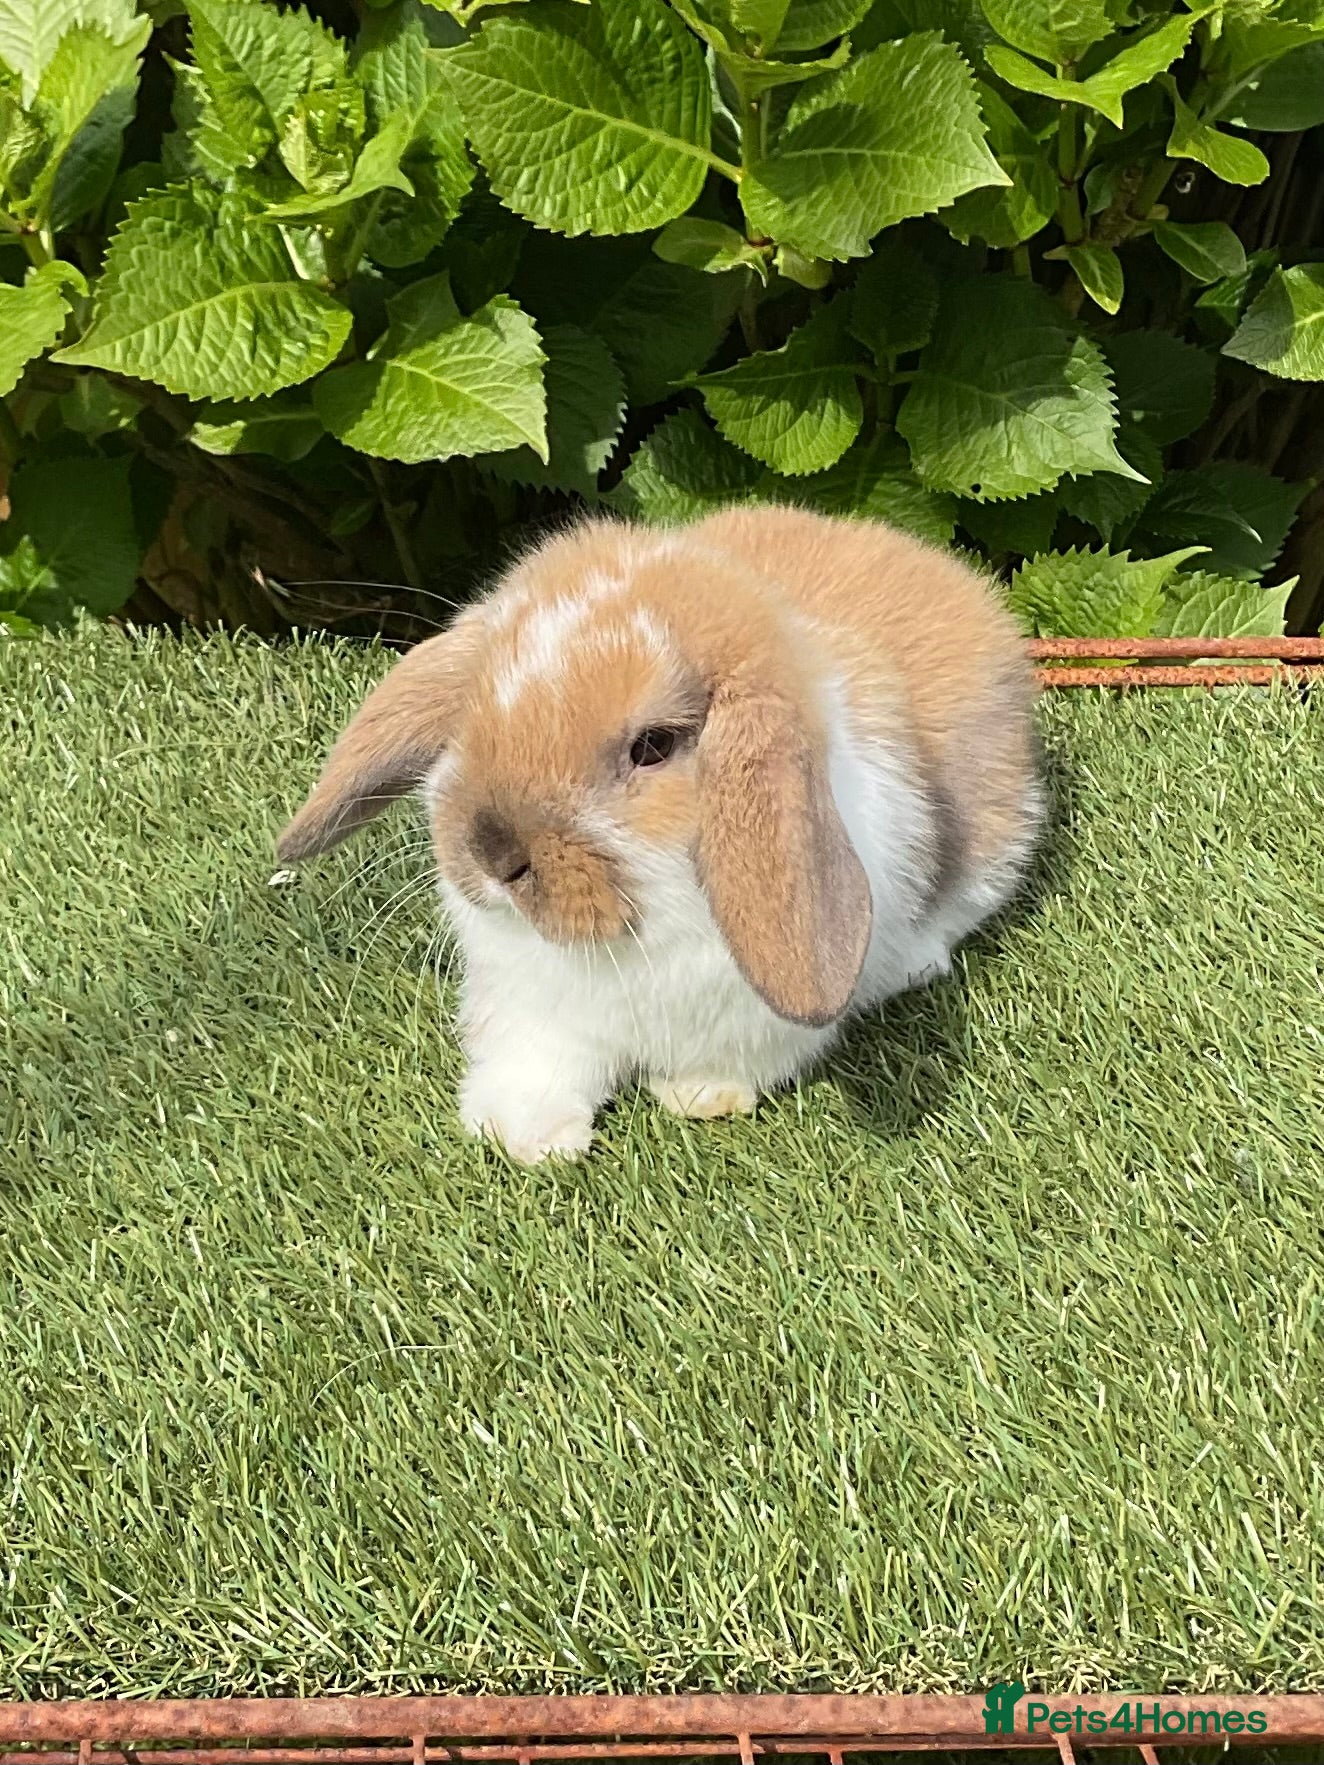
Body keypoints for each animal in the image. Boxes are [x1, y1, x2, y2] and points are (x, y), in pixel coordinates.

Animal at [278, 506, 1042, 1164]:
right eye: (476, 709)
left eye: (653, 746)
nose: (494, 853)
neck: (635, 929)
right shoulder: (528, 1007)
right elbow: (536, 1062)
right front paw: (523, 1134)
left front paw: (698, 1096)